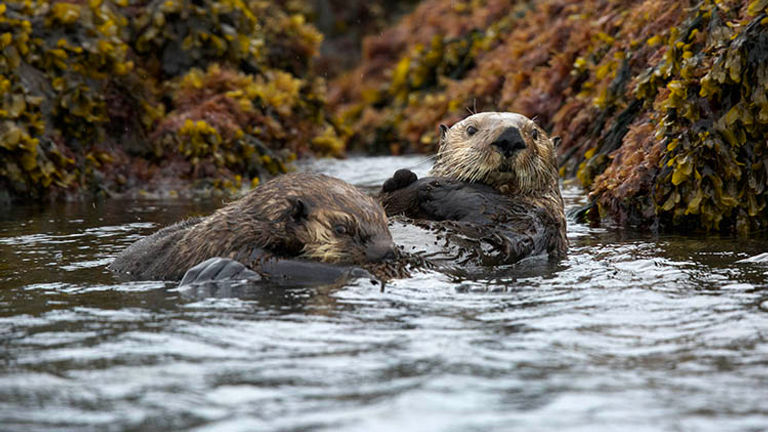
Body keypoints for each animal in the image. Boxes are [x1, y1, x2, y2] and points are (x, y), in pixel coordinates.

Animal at [380, 112, 567, 265]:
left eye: (535, 134)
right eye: (471, 129)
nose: (510, 137)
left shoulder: (535, 223)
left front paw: (441, 188)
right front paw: (401, 179)